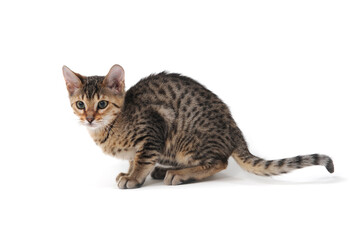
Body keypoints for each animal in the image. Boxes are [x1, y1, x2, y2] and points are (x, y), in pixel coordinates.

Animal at [62, 64, 334, 188]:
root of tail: (236, 132)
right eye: (80, 104)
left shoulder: (154, 127)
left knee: (218, 162)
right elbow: (133, 159)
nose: (89, 118)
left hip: (185, 139)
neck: (109, 128)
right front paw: (129, 172)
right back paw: (164, 170)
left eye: (102, 104)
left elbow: (142, 159)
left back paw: (179, 173)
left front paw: (134, 178)